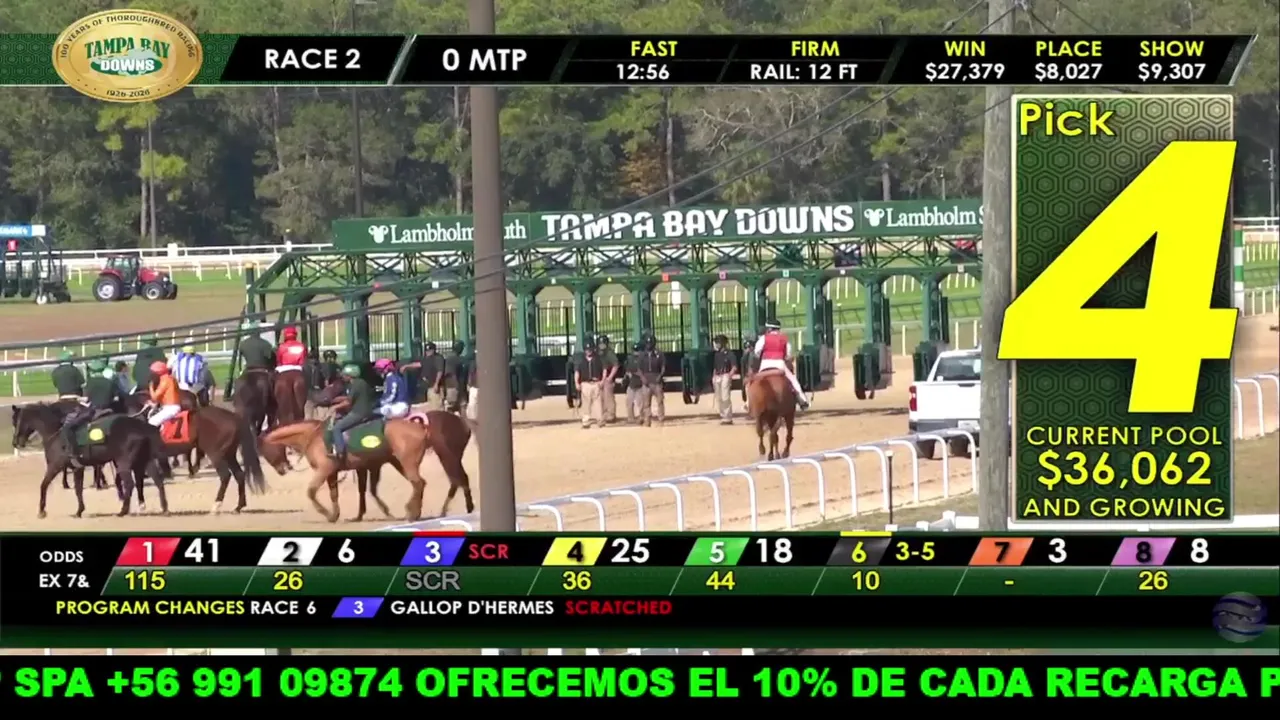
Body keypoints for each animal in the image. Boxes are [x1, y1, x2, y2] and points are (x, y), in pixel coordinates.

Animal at [11, 403, 170, 518]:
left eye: (16, 421)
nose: (15, 442)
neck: (56, 435)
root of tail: (139, 426)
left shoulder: (55, 466)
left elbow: (43, 485)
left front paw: (42, 511)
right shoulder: (77, 468)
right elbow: (78, 490)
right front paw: (79, 511)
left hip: (124, 463)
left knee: (130, 484)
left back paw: (123, 511)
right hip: (145, 460)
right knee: (158, 481)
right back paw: (164, 508)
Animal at [258, 411, 473, 523]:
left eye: (265, 451)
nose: (283, 469)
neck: (314, 436)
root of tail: (421, 427)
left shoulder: (324, 470)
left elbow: (311, 492)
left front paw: (327, 514)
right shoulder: (334, 472)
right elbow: (335, 494)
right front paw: (335, 514)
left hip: (413, 462)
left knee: (421, 482)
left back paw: (413, 513)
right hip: (402, 463)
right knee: (423, 483)